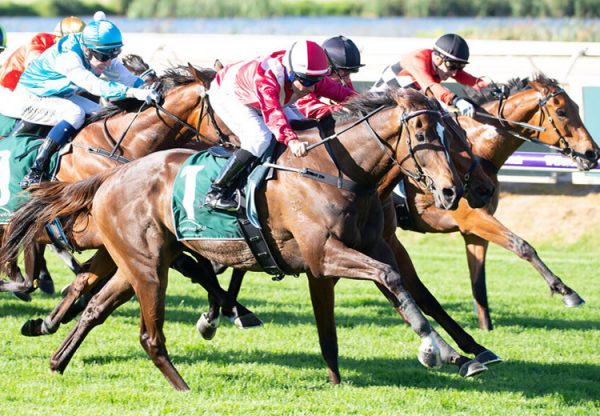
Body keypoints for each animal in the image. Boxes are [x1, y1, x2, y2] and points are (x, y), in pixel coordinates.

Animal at [1, 88, 464, 390]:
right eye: (423, 133)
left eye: (452, 133)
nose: (450, 191)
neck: (335, 171)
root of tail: (114, 175)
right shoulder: (326, 254)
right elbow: (390, 277)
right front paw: (436, 349)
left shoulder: (350, 255)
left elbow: (383, 299)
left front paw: (448, 351)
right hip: (148, 267)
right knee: (149, 334)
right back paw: (183, 387)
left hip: (137, 262)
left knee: (95, 304)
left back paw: (56, 357)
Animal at [406, 73, 596, 330]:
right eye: (562, 112)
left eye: (576, 106)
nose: (592, 153)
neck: (476, 150)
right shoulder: (473, 218)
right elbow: (522, 245)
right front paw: (565, 291)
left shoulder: (473, 231)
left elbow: (479, 281)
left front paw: (486, 329)